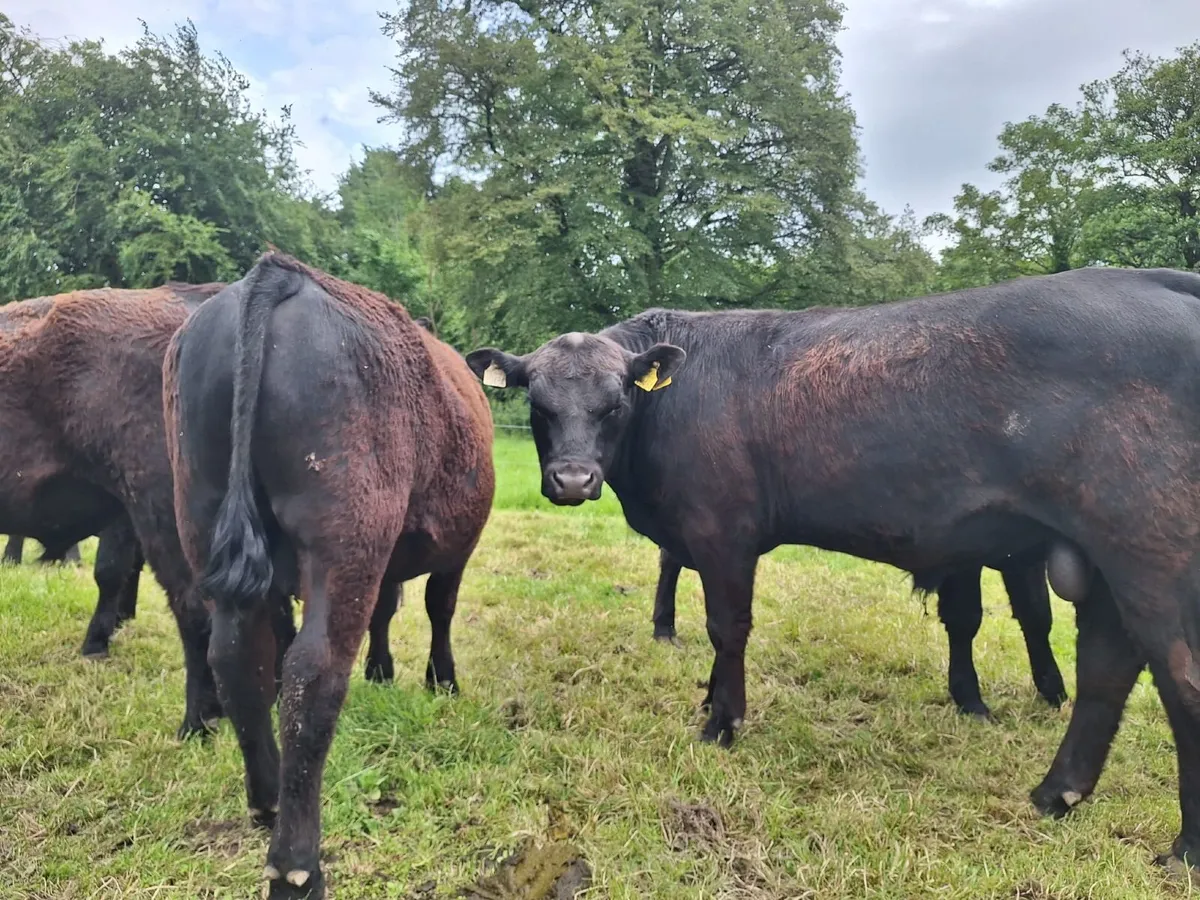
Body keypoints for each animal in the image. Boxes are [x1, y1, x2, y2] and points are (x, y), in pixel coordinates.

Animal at [165, 252, 494, 898]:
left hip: (204, 509)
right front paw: (440, 679)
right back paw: (297, 864)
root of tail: (278, 273)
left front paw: (384, 670)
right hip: (345, 532)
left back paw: (266, 798)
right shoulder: (454, 549)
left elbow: (388, 609)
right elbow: (438, 608)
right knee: (311, 674)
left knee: (237, 657)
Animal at [650, 546, 1066, 717]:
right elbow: (966, 618)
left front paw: (1053, 689)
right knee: (672, 558)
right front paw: (971, 699)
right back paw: (664, 627)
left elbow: (1036, 615)